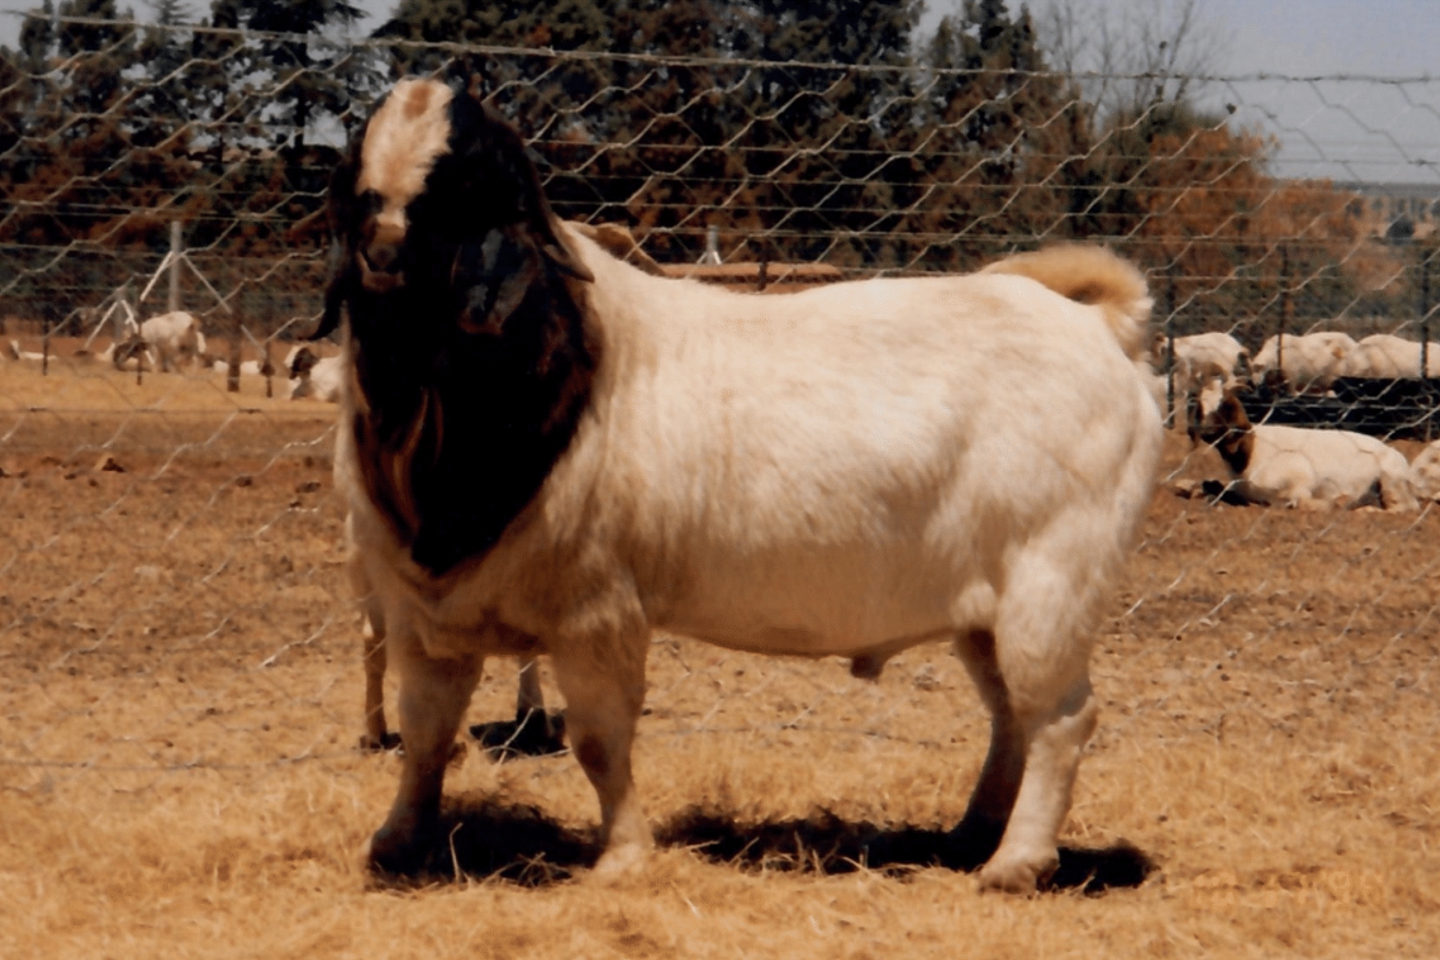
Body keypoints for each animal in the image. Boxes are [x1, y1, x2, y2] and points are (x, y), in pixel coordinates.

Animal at [315, 78, 1157, 898]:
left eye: (459, 189)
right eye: (360, 186)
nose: (381, 254)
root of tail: (1097, 328)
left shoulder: (598, 610)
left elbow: (598, 741)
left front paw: (623, 856)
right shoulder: (425, 616)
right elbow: (426, 735)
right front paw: (397, 841)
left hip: (1052, 586)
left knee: (1060, 720)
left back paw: (1016, 864)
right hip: (983, 617)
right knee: (1011, 718)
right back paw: (972, 834)